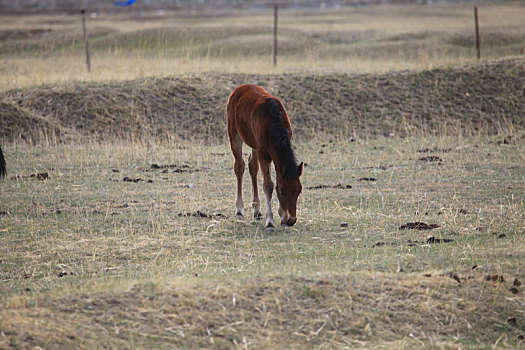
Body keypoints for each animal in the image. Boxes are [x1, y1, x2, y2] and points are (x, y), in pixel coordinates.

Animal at [226, 84, 302, 232]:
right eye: (283, 192)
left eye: (299, 191)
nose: (292, 220)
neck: (273, 123)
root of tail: (238, 89)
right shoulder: (263, 153)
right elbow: (268, 185)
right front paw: (270, 222)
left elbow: (276, 179)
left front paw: (282, 217)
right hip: (234, 134)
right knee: (239, 166)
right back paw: (239, 210)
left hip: (253, 144)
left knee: (252, 167)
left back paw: (257, 210)